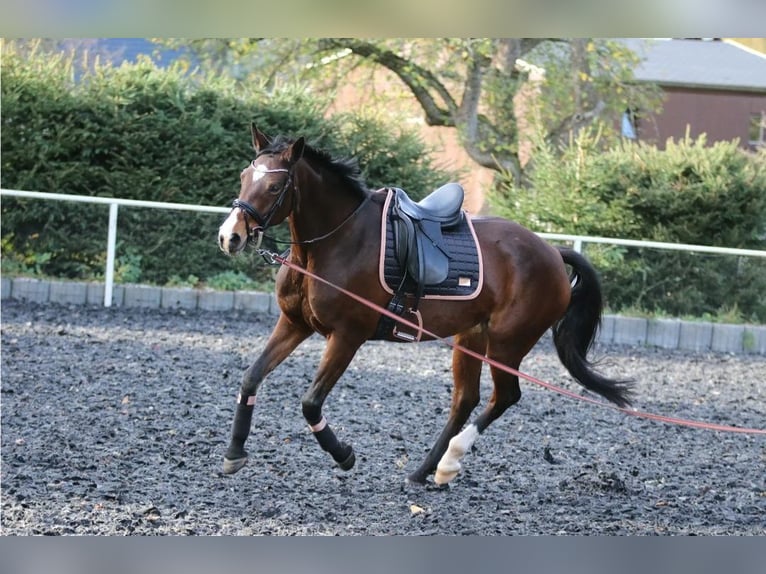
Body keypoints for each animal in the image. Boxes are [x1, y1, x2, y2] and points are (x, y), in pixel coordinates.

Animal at [218, 126, 636, 486]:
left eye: (274, 186)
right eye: (243, 176)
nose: (229, 237)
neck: (336, 241)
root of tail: (551, 251)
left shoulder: (347, 336)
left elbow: (310, 403)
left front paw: (344, 455)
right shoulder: (294, 324)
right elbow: (251, 377)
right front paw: (235, 453)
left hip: (507, 344)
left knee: (505, 397)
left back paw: (450, 461)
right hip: (472, 338)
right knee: (466, 400)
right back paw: (424, 471)